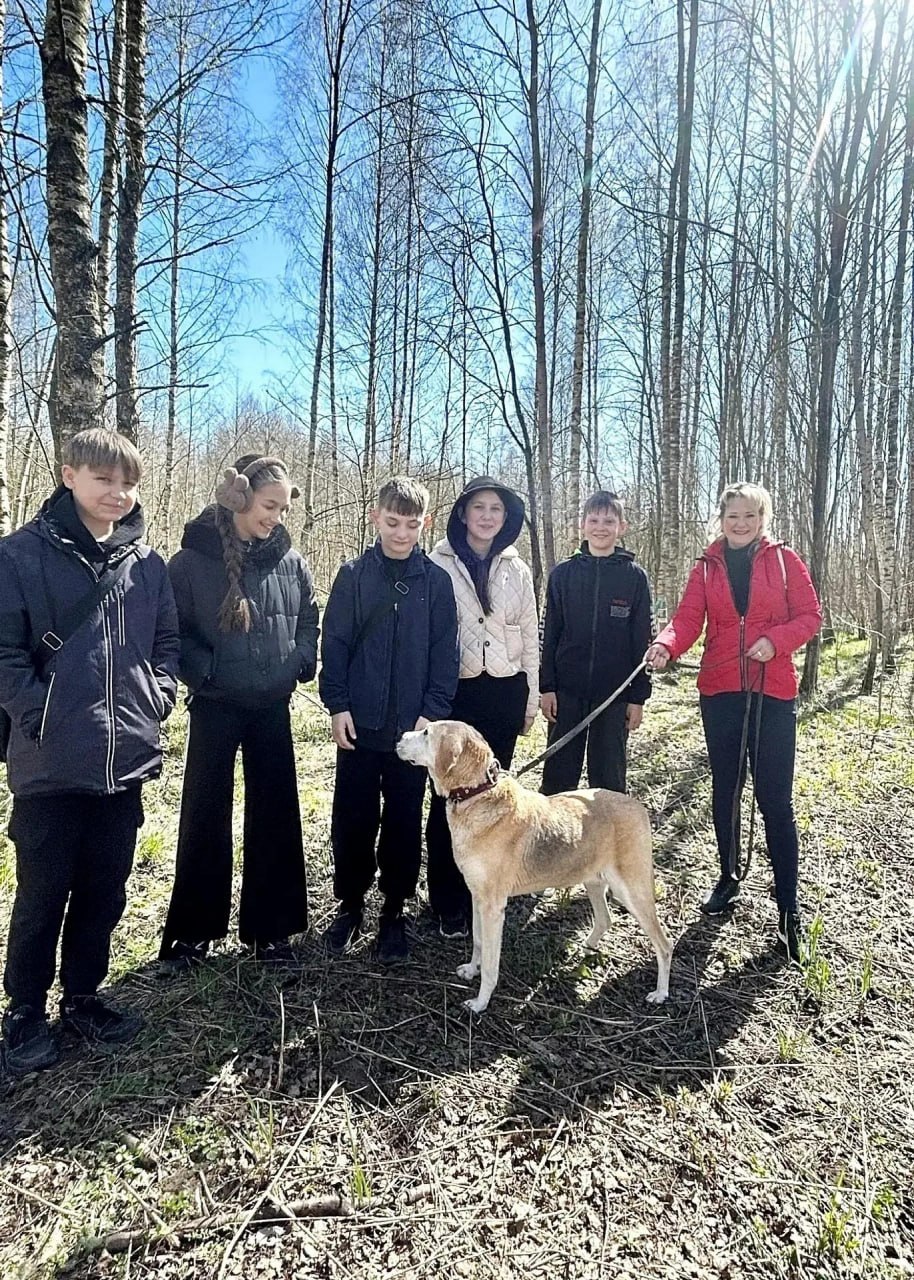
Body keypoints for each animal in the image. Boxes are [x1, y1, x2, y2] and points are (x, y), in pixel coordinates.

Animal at [397, 720, 672, 1013]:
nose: (399, 737)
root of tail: (638, 806)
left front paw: (481, 1002)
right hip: (594, 881)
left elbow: (491, 966)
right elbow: (478, 942)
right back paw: (586, 948)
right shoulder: (477, 898)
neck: (479, 793)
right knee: (605, 919)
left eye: (426, 733)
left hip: (632, 892)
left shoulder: (493, 908)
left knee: (664, 945)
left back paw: (660, 993)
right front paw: (471, 970)